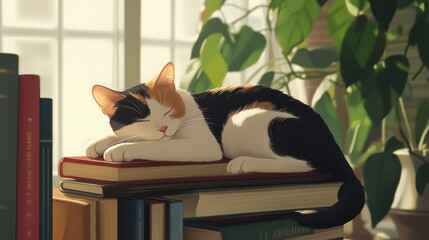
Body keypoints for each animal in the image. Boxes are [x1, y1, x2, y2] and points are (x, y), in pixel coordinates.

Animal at [85, 61, 362, 229]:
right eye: (143, 119)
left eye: (167, 112)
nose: (163, 128)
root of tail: (333, 142)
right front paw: (99, 144)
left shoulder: (203, 145)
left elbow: (157, 146)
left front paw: (120, 149)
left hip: (245, 120)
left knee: (305, 164)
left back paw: (243, 163)